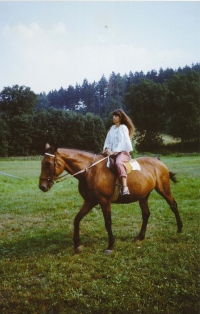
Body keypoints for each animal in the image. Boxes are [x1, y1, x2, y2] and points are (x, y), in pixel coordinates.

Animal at [39, 144, 183, 254]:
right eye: (42, 163)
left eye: (48, 163)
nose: (42, 186)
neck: (90, 171)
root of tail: (157, 160)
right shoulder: (90, 201)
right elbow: (77, 219)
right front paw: (77, 245)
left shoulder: (104, 201)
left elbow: (108, 223)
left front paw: (110, 246)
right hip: (143, 196)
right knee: (146, 214)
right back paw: (140, 237)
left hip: (164, 190)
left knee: (173, 205)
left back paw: (180, 229)